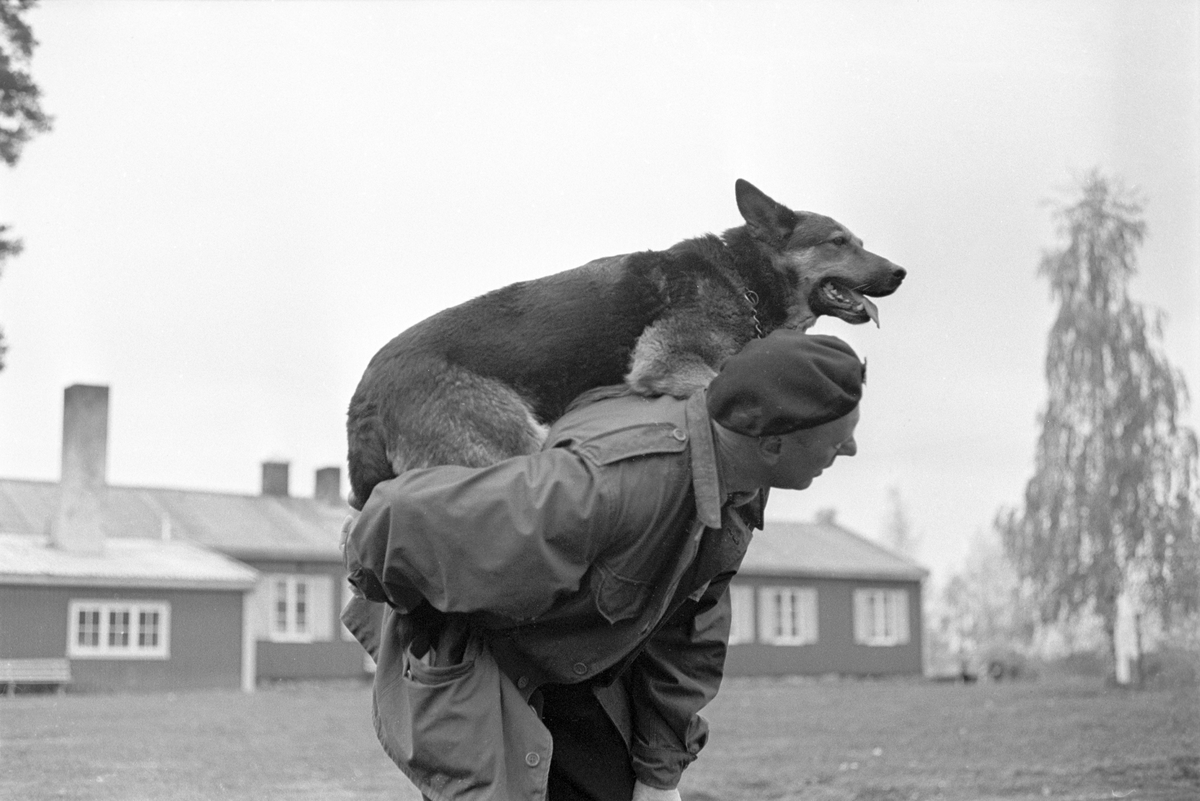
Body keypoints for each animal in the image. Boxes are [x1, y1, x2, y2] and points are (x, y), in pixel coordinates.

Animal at [343, 178, 902, 510]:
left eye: (856, 241)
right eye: (838, 242)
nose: (901, 272)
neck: (744, 278)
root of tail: (364, 394)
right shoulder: (669, 362)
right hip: (511, 448)